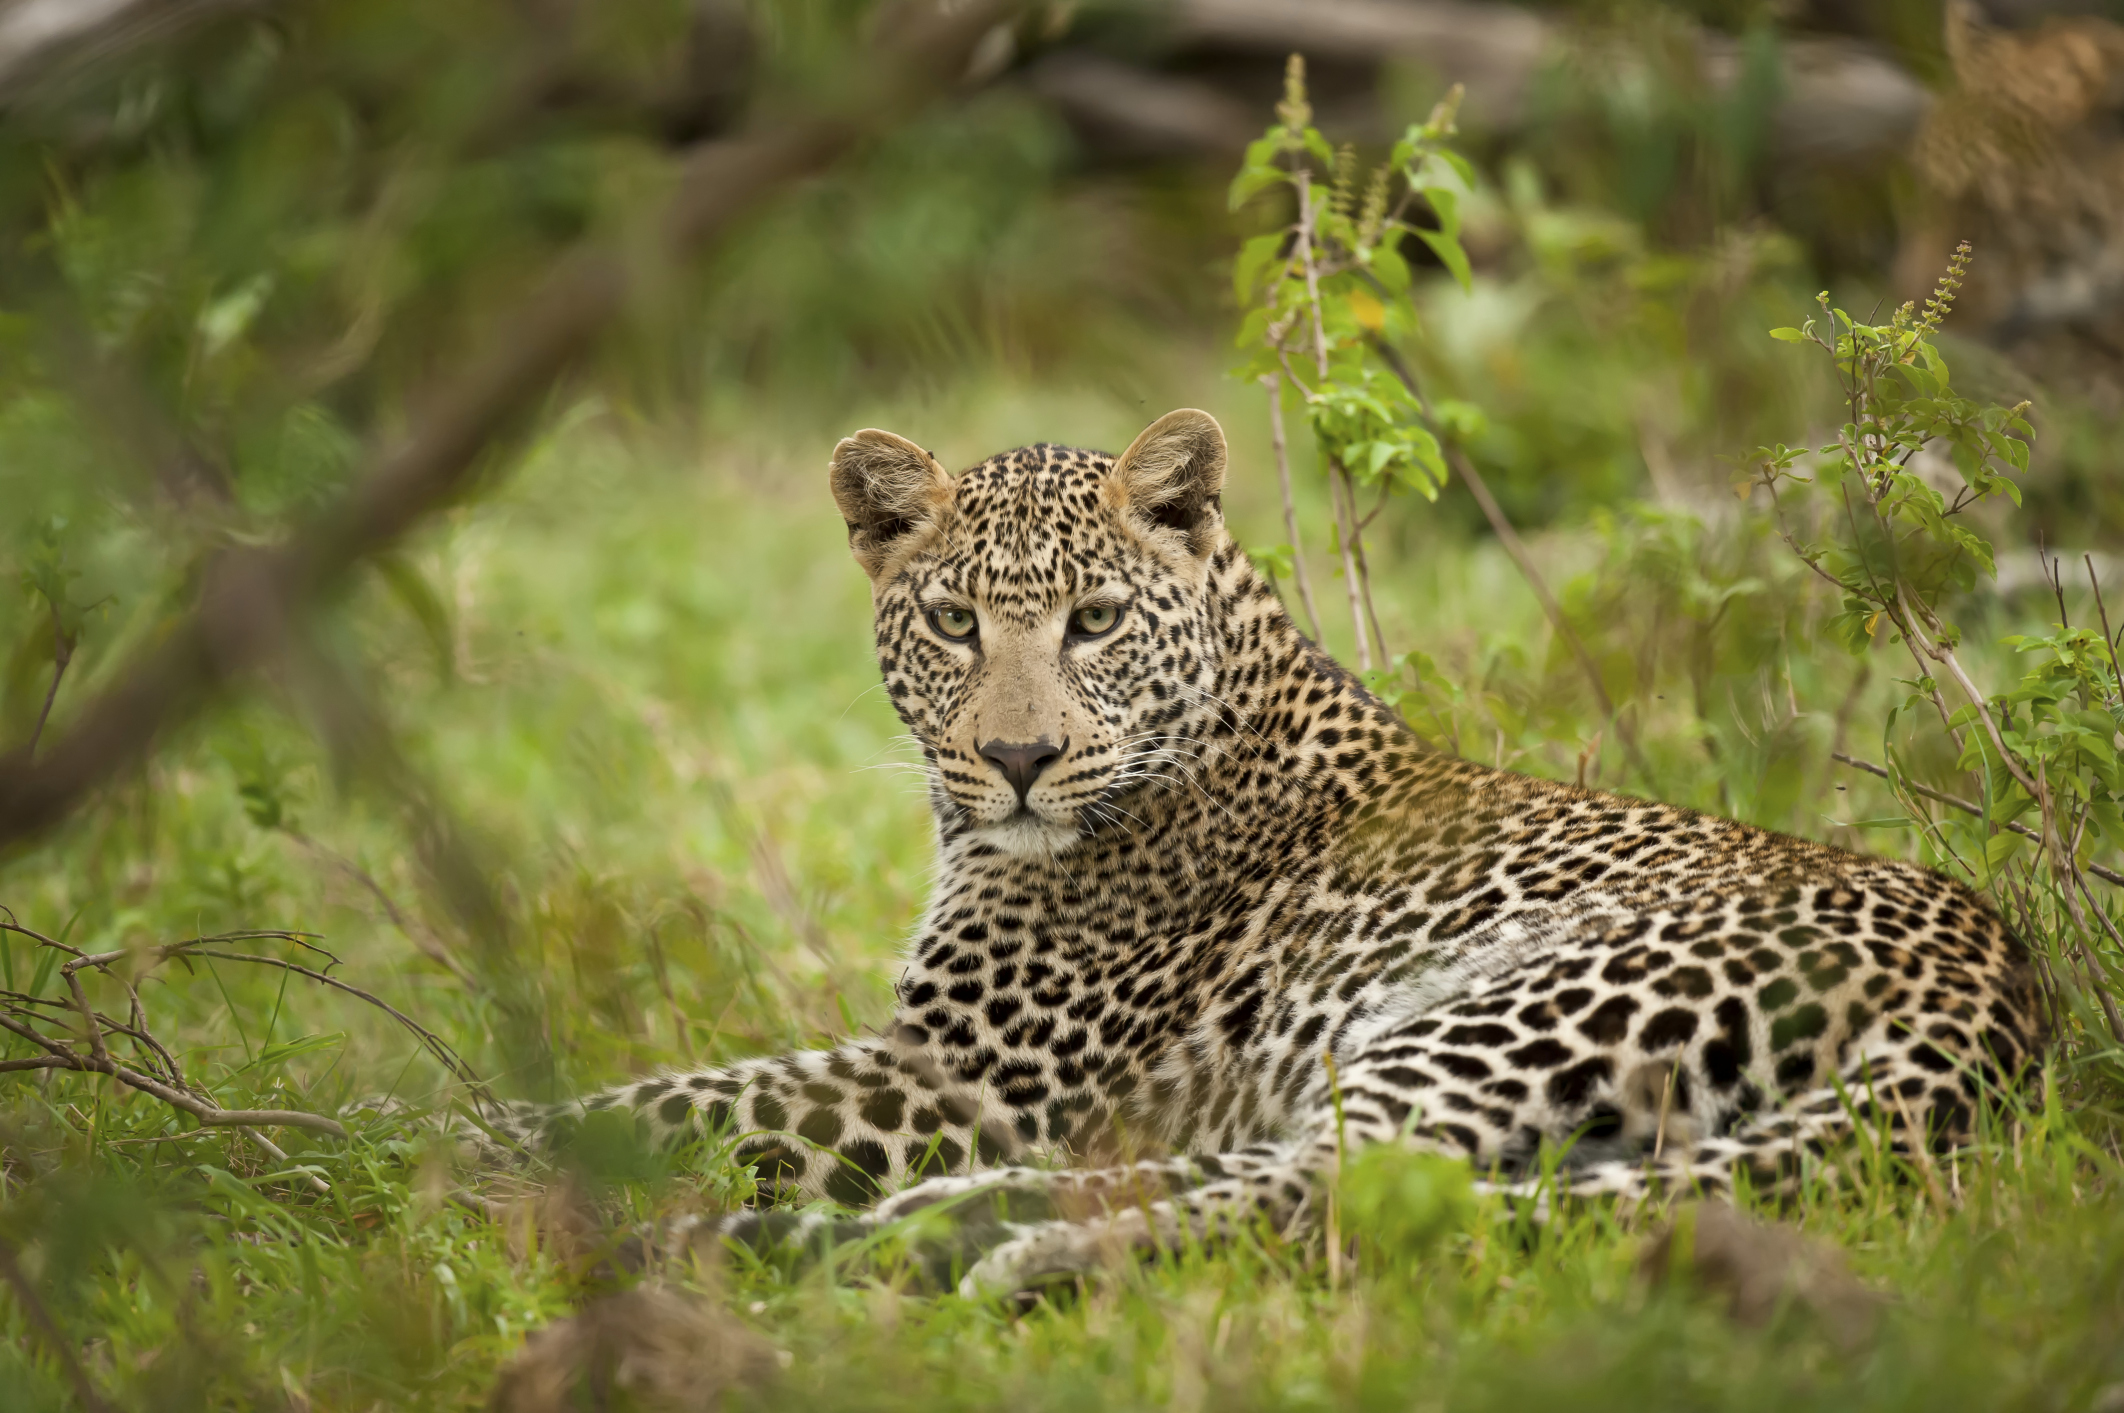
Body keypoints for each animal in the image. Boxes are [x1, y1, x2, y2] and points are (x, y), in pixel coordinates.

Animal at [499, 407, 2044, 1296]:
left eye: (1095, 622)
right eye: (951, 624)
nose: (1018, 758)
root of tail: (2004, 990)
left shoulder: (967, 1082)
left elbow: (667, 1103)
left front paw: (455, 1155)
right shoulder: (964, 1082)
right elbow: (666, 1095)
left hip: (1506, 1007)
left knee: (1337, 1189)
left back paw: (1006, 1260)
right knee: (1297, 1166)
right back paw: (870, 1239)